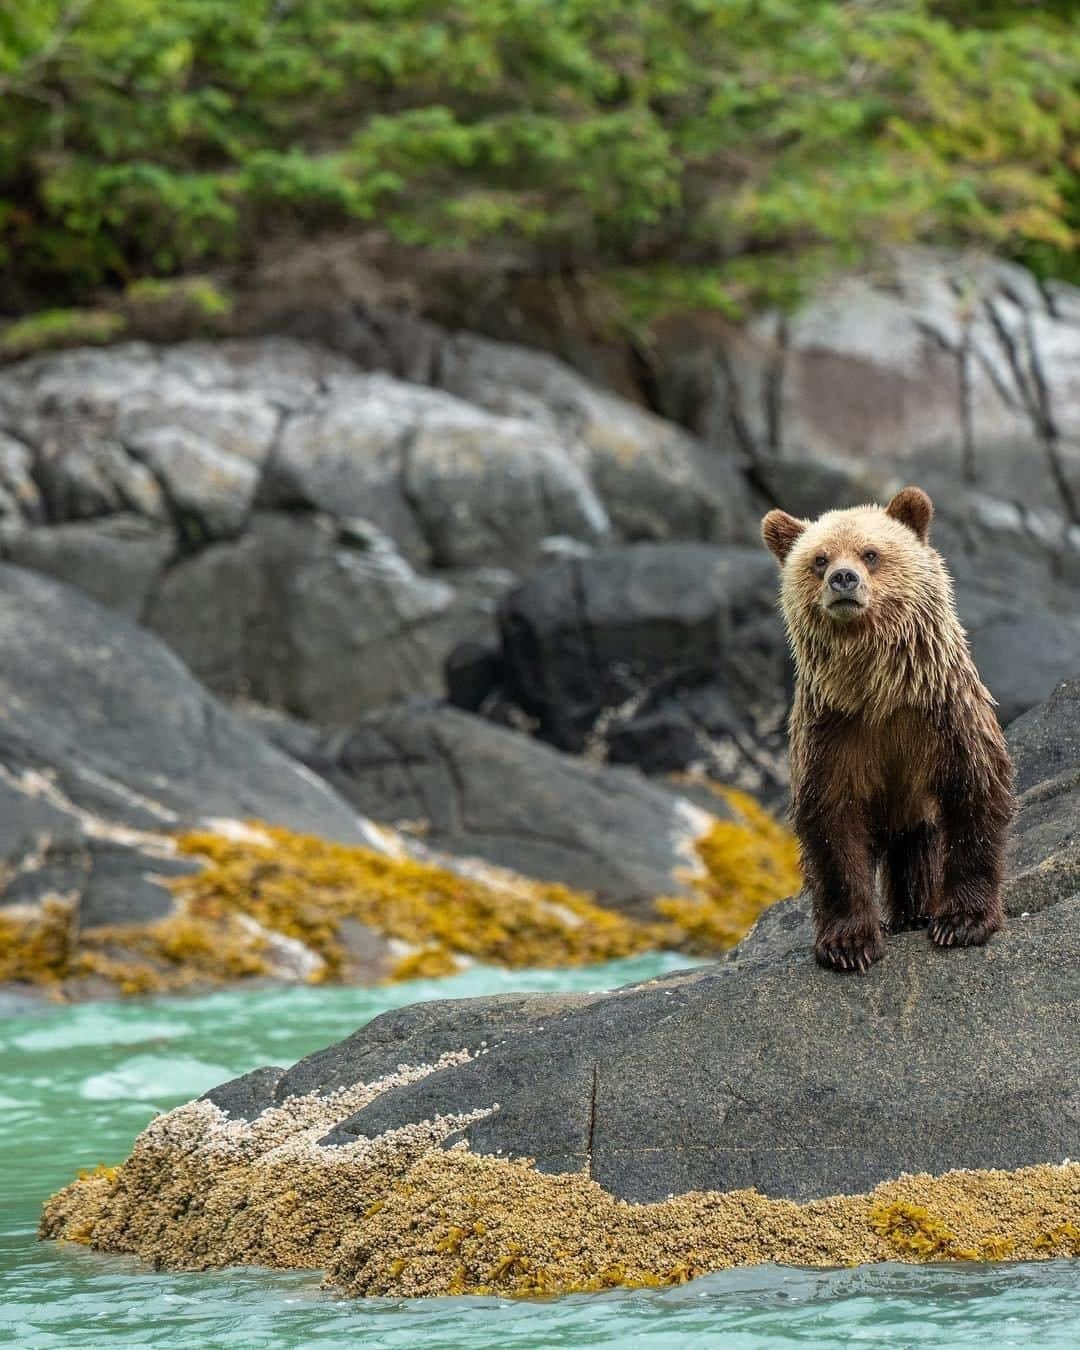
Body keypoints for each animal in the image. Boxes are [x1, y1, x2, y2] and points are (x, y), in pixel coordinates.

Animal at [761, 491, 1015, 977]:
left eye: (870, 553)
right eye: (819, 559)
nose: (843, 578)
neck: (878, 691)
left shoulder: (943, 716)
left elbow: (974, 796)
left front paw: (963, 921)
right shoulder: (833, 733)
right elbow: (832, 825)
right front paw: (848, 944)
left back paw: (919, 914)